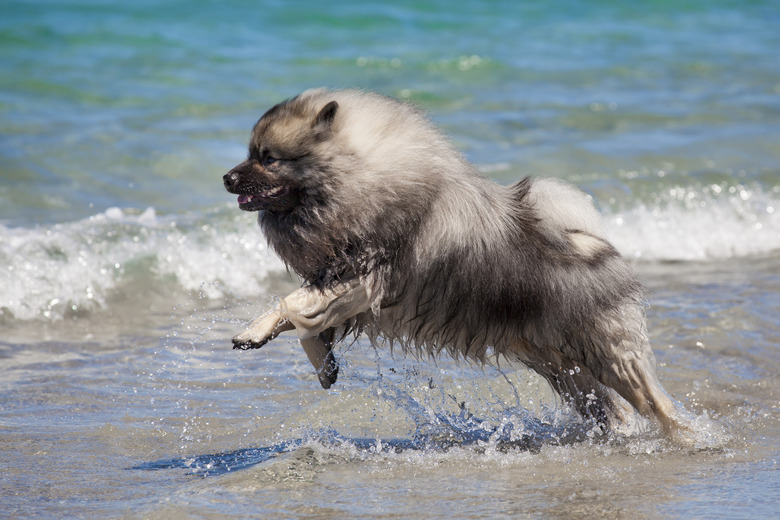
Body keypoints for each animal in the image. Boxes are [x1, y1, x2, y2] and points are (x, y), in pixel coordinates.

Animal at [222, 89, 692, 438]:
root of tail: (595, 244)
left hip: (607, 356)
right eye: (251, 153)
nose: (226, 177)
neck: (361, 175)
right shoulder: (340, 283)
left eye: (268, 157)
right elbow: (307, 321)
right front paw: (323, 366)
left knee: (657, 403)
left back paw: (685, 439)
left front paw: (252, 332)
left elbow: (292, 304)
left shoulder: (365, 278)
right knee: (612, 410)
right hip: (562, 368)